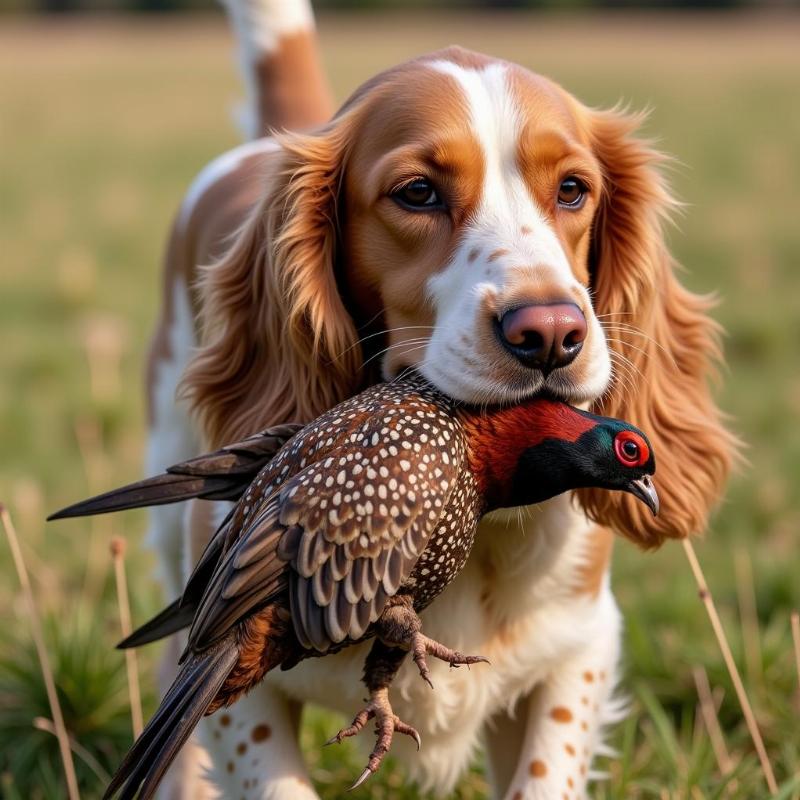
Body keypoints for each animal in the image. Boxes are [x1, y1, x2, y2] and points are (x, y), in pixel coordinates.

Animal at [142, 3, 732, 796]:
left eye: (573, 189)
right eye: (417, 192)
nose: (551, 333)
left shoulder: (579, 650)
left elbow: (544, 773)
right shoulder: (242, 686)